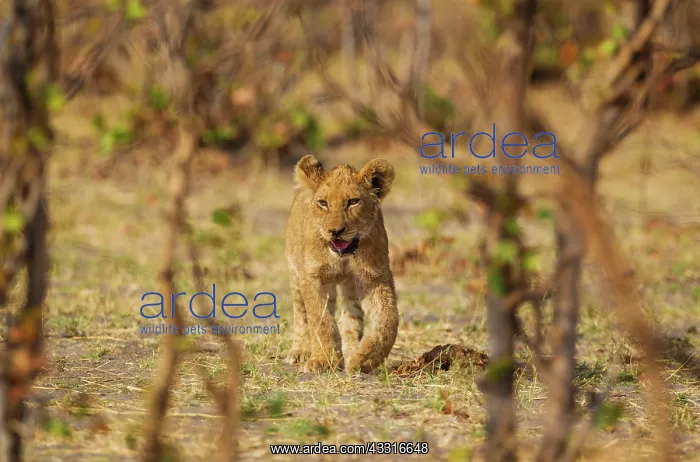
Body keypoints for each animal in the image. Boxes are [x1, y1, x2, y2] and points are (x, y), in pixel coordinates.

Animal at [284, 155, 399, 373]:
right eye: (323, 203)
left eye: (353, 202)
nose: (335, 231)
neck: (343, 257)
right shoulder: (311, 277)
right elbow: (321, 321)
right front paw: (323, 360)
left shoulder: (375, 277)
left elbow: (388, 319)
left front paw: (365, 359)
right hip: (295, 273)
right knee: (301, 313)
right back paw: (300, 351)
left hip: (350, 287)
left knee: (351, 320)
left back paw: (351, 351)